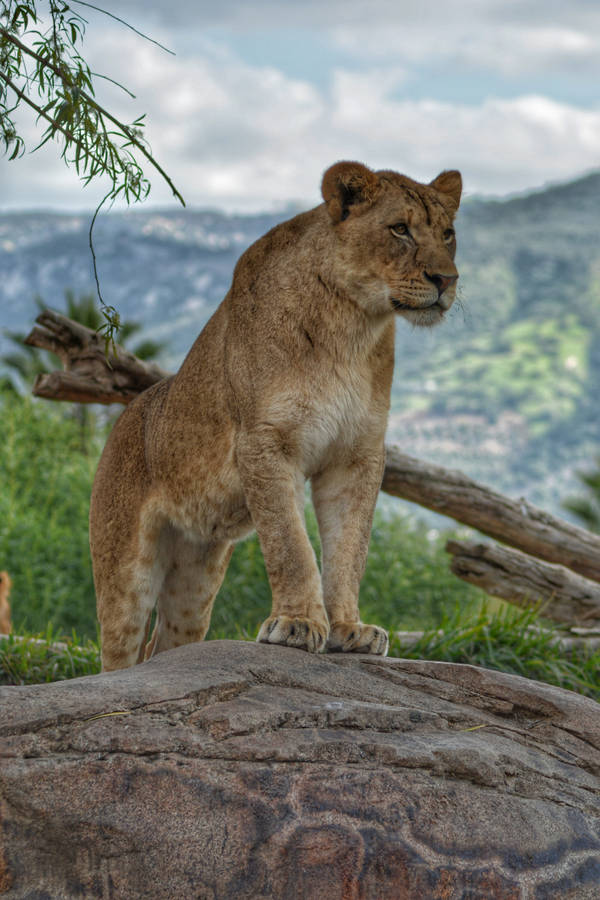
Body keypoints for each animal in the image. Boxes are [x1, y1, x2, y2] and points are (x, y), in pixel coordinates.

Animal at [90, 161, 462, 671]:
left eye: (448, 234)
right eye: (400, 230)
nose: (447, 280)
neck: (353, 326)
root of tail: (125, 416)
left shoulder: (357, 455)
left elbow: (349, 549)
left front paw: (350, 629)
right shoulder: (265, 441)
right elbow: (291, 544)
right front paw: (298, 624)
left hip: (196, 577)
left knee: (164, 645)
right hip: (126, 570)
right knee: (119, 655)